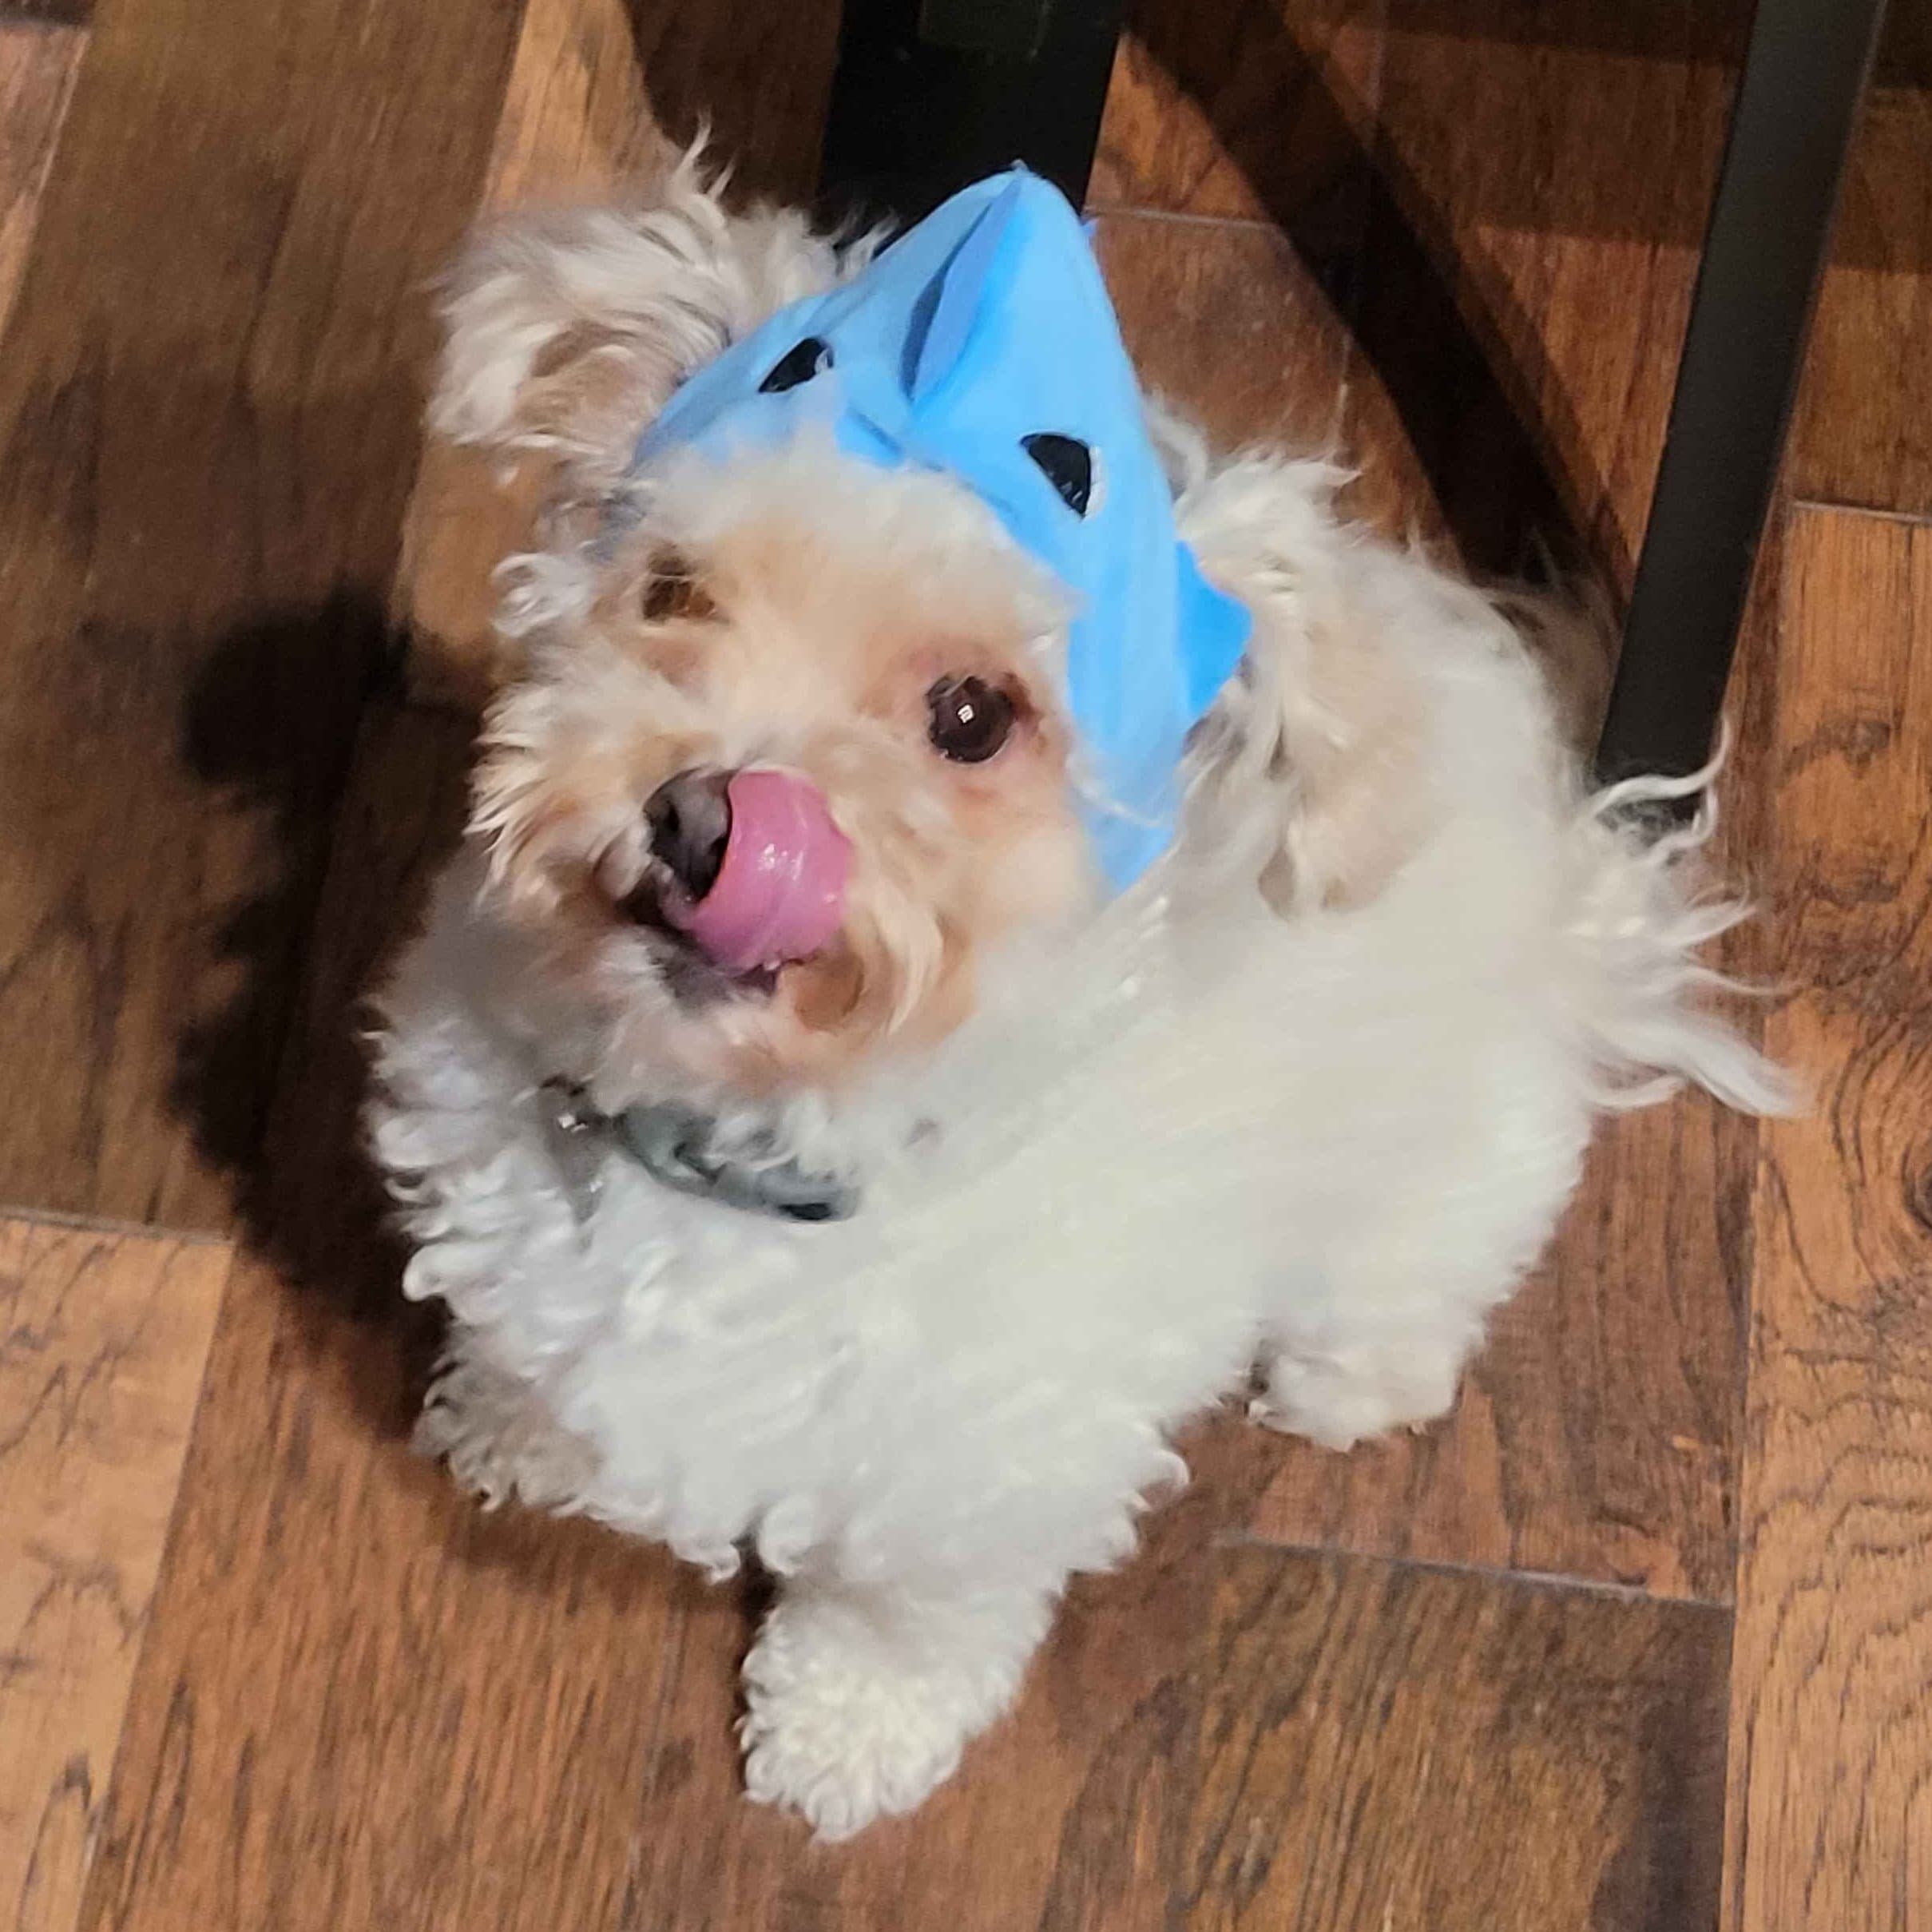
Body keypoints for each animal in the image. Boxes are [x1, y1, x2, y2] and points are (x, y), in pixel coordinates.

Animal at [368, 152, 1792, 1838]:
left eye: (971, 717)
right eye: (670, 591)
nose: (707, 816)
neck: (753, 1144)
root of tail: (1576, 886)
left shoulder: (978, 1463)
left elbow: (905, 1613)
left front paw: (841, 1734)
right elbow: (531, 1346)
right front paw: (508, 1422)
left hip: (1433, 1178)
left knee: (1432, 1265)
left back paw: (1346, 1380)